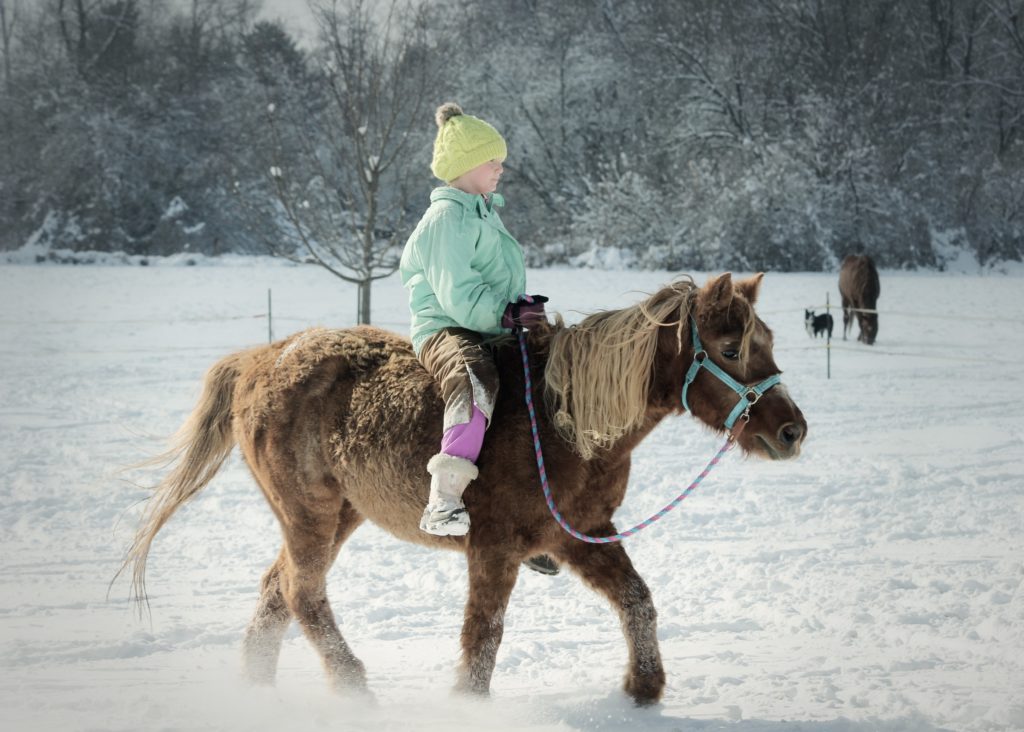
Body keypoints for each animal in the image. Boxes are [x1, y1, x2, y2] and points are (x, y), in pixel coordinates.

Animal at [121, 272, 806, 708]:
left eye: (767, 342)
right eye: (730, 348)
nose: (792, 430)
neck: (561, 424)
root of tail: (263, 358)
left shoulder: (580, 536)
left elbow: (637, 600)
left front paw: (644, 689)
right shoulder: (494, 548)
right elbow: (483, 637)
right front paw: (467, 705)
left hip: (340, 515)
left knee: (275, 590)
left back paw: (258, 687)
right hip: (308, 514)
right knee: (301, 593)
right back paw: (352, 685)